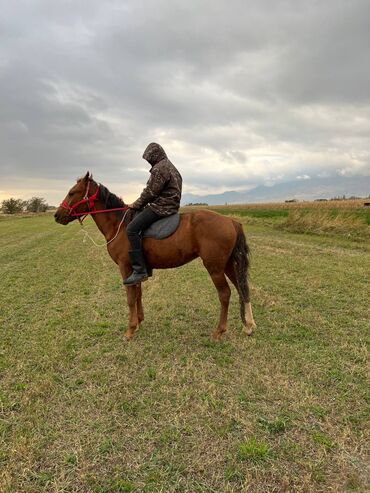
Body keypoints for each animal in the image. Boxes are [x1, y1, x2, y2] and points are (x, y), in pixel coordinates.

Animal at [55, 172, 256, 338]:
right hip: (228, 265)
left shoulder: (126, 268)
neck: (119, 224)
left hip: (214, 268)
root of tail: (231, 221)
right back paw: (248, 326)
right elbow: (138, 294)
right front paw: (139, 322)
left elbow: (130, 298)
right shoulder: (137, 270)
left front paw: (130, 329)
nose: (57, 215)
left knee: (225, 294)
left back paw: (219, 331)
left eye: (72, 192)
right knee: (241, 288)